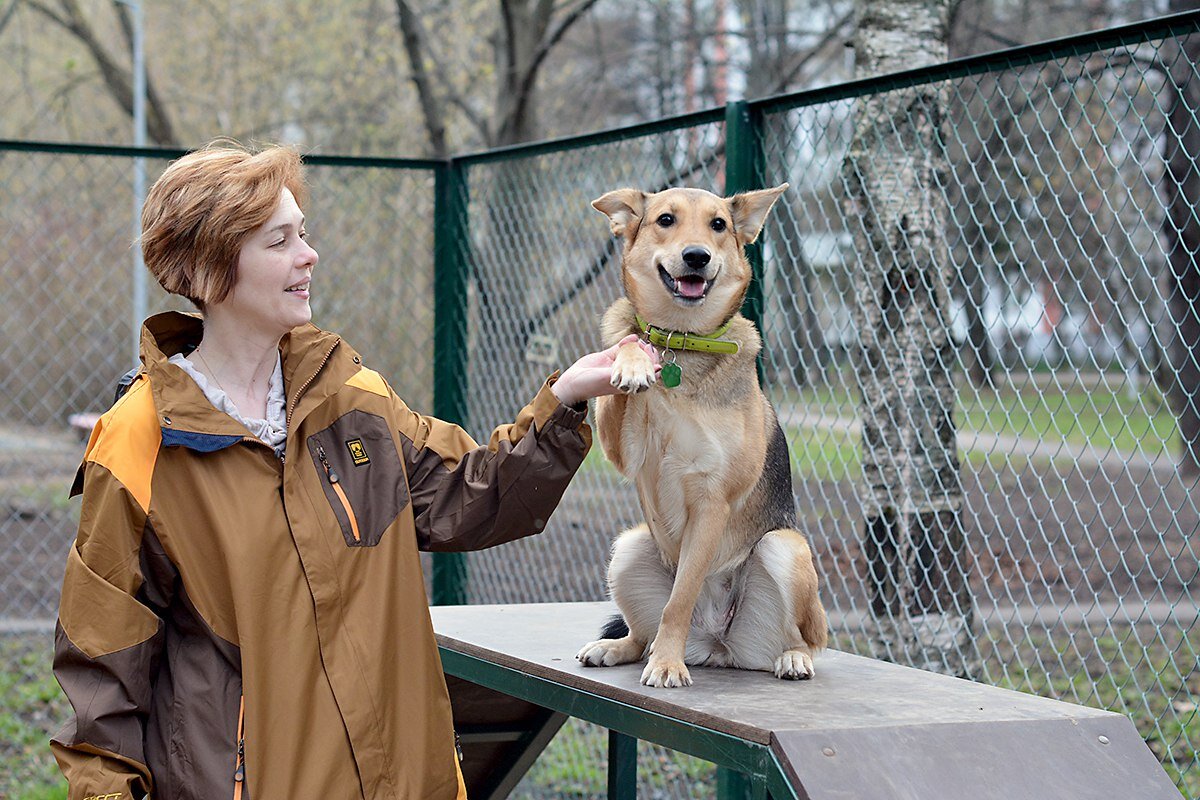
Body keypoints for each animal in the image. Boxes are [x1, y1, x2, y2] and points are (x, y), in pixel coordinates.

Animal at [578, 184, 830, 686]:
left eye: (718, 225)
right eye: (665, 220)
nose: (697, 256)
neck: (682, 343)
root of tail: (717, 646)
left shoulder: (712, 499)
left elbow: (680, 599)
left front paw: (667, 664)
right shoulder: (625, 453)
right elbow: (631, 350)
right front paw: (632, 364)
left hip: (784, 548)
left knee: (807, 638)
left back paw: (792, 658)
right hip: (630, 546)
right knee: (641, 633)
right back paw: (617, 647)